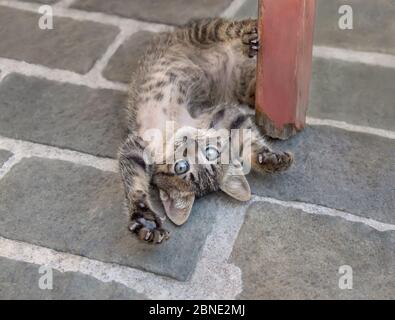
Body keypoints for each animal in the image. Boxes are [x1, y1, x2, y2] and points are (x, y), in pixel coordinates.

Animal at [119, 17, 292, 244]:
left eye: (210, 152)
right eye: (181, 167)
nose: (189, 141)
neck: (174, 127)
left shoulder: (222, 113)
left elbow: (248, 138)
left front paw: (267, 159)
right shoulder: (137, 146)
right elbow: (134, 181)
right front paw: (143, 219)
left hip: (201, 34)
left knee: (225, 28)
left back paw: (249, 33)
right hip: (238, 83)